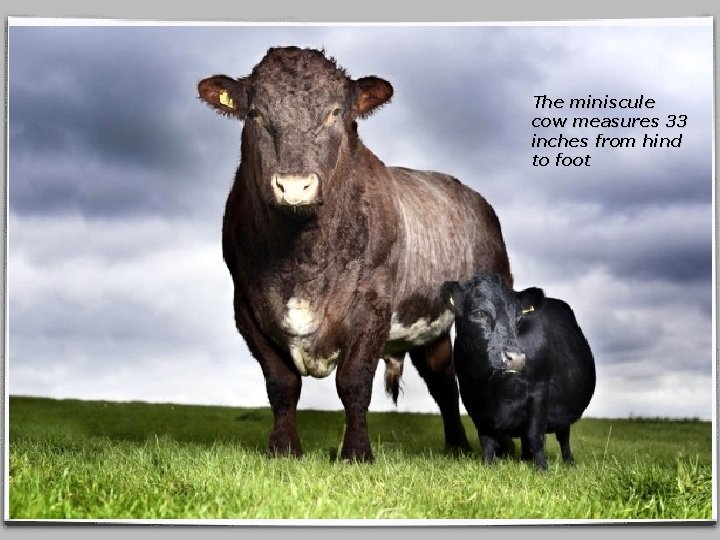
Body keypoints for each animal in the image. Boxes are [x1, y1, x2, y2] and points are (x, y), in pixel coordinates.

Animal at [198, 47, 512, 462]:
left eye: (335, 112)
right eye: (255, 113)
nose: (294, 186)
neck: (301, 257)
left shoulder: (372, 305)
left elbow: (354, 381)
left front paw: (357, 453)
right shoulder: (247, 307)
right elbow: (281, 384)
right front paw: (283, 449)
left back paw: (506, 448)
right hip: (431, 326)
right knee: (443, 380)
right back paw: (457, 447)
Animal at [442, 273, 596, 469]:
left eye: (518, 318)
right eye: (478, 313)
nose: (515, 358)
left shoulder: (540, 392)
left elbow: (535, 436)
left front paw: (542, 469)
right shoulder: (472, 398)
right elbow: (487, 439)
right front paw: (487, 466)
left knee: (563, 436)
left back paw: (568, 462)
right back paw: (525, 459)